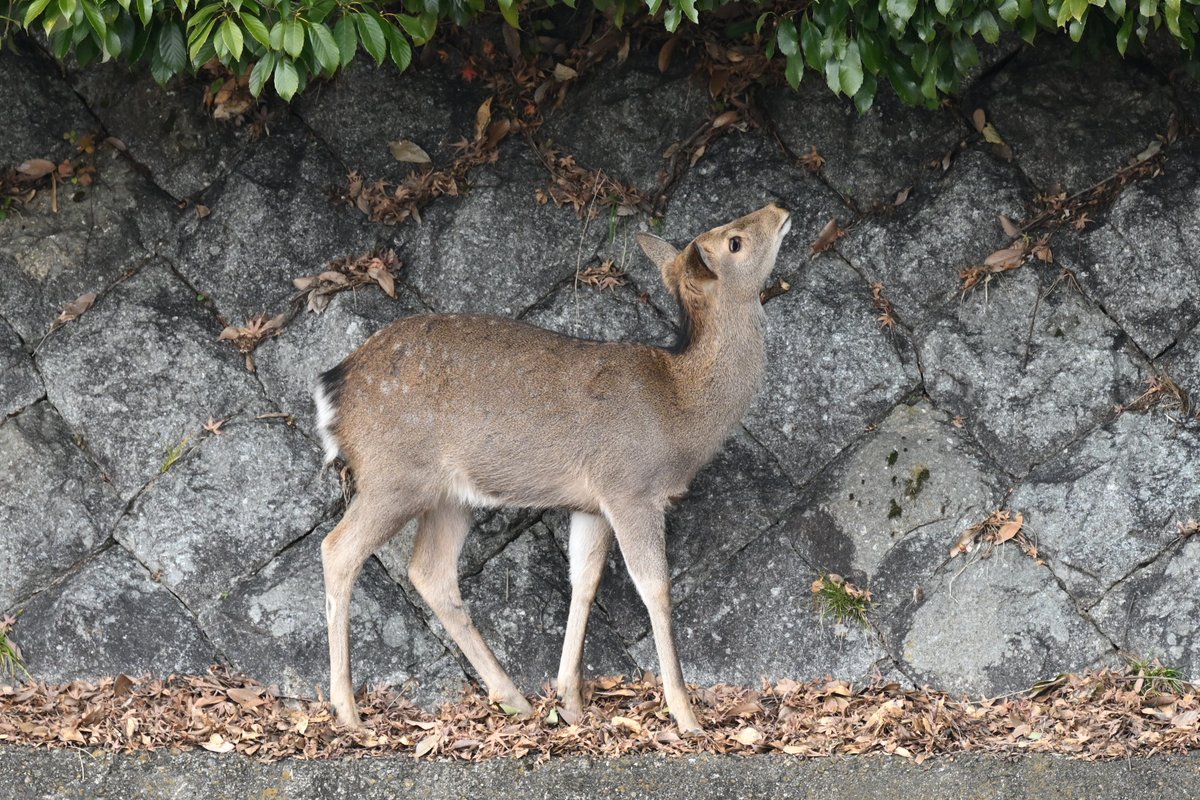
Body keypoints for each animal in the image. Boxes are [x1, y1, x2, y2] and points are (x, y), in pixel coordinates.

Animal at [315, 203, 792, 734]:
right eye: (734, 241)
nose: (780, 209)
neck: (681, 410)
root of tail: (332, 389)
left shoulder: (594, 502)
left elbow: (583, 581)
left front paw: (571, 703)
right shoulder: (630, 487)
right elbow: (655, 587)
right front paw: (686, 716)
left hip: (448, 495)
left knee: (429, 572)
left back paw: (514, 700)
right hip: (393, 475)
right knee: (338, 549)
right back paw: (348, 711)